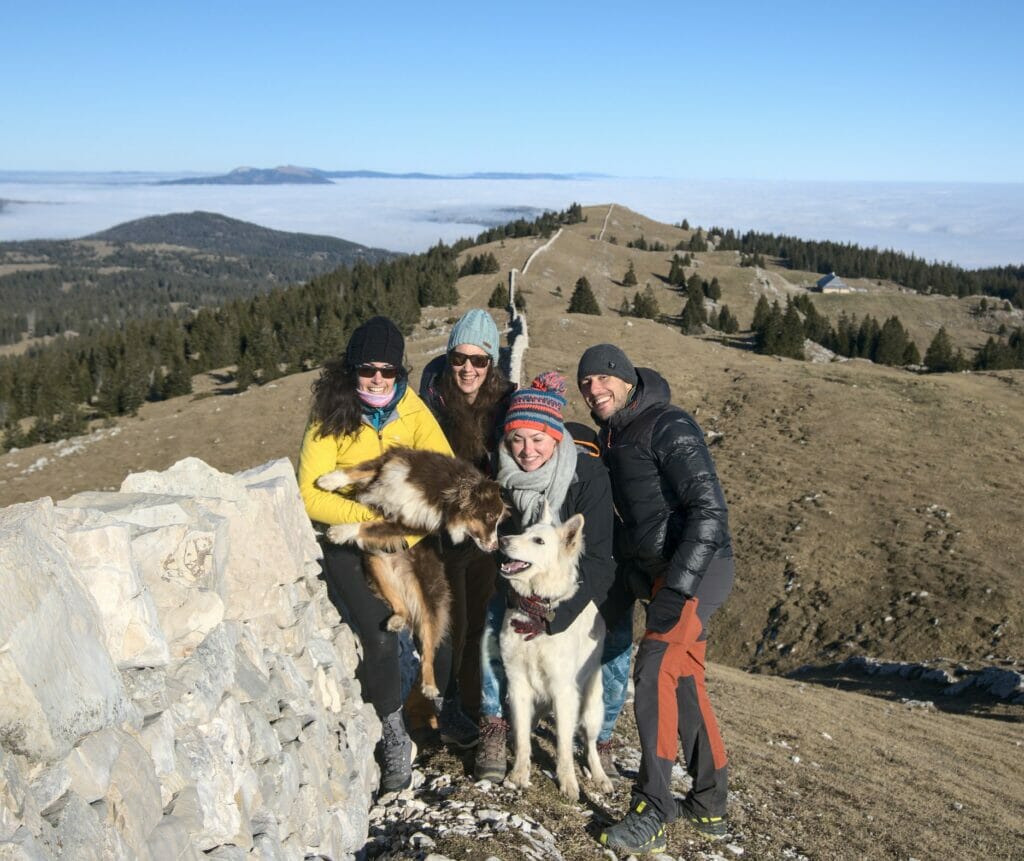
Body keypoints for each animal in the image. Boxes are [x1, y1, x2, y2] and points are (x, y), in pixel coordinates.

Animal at [311, 450, 503, 700]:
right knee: (400, 606)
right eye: (489, 516)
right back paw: (397, 620)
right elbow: (360, 470)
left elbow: (371, 525)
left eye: (498, 520)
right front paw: (329, 480)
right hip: (378, 566)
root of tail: (403, 575)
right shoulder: (393, 465)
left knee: (429, 647)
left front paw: (341, 531)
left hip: (430, 599)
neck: (444, 494)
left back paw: (430, 686)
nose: (495, 547)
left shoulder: (408, 525)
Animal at [497, 509, 610, 798]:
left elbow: (564, 746)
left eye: (538, 541)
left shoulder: (563, 692)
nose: (502, 540)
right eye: (523, 531)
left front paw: (568, 782)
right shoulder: (517, 685)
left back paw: (601, 777)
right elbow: (523, 738)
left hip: (591, 707)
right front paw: (518, 775)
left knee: (590, 744)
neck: (535, 613)